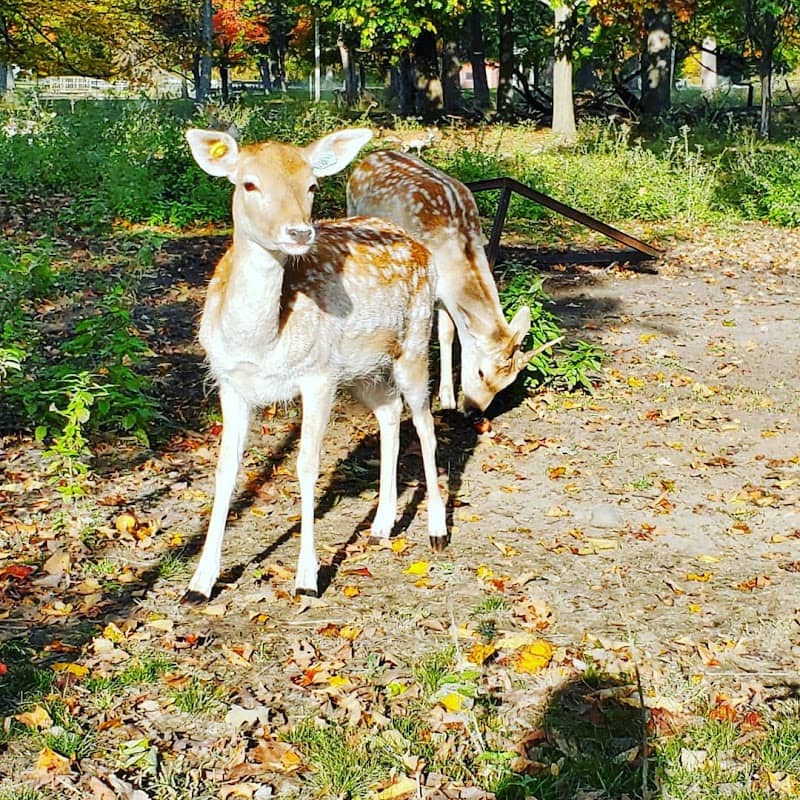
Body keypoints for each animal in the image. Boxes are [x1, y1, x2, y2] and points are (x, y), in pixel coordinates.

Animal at [184, 127, 447, 599]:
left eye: (311, 186)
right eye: (248, 184)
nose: (298, 232)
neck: (262, 342)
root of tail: (419, 243)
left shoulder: (318, 375)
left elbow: (307, 467)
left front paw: (307, 578)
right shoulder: (230, 382)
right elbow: (226, 470)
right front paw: (200, 582)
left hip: (415, 340)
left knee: (425, 422)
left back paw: (436, 530)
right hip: (363, 369)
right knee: (390, 412)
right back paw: (381, 526)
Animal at [347, 149, 537, 416]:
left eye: (506, 384)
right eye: (480, 372)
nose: (474, 410)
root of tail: (369, 157)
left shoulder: (444, 296)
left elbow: (447, 333)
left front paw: (447, 397)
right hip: (350, 205)